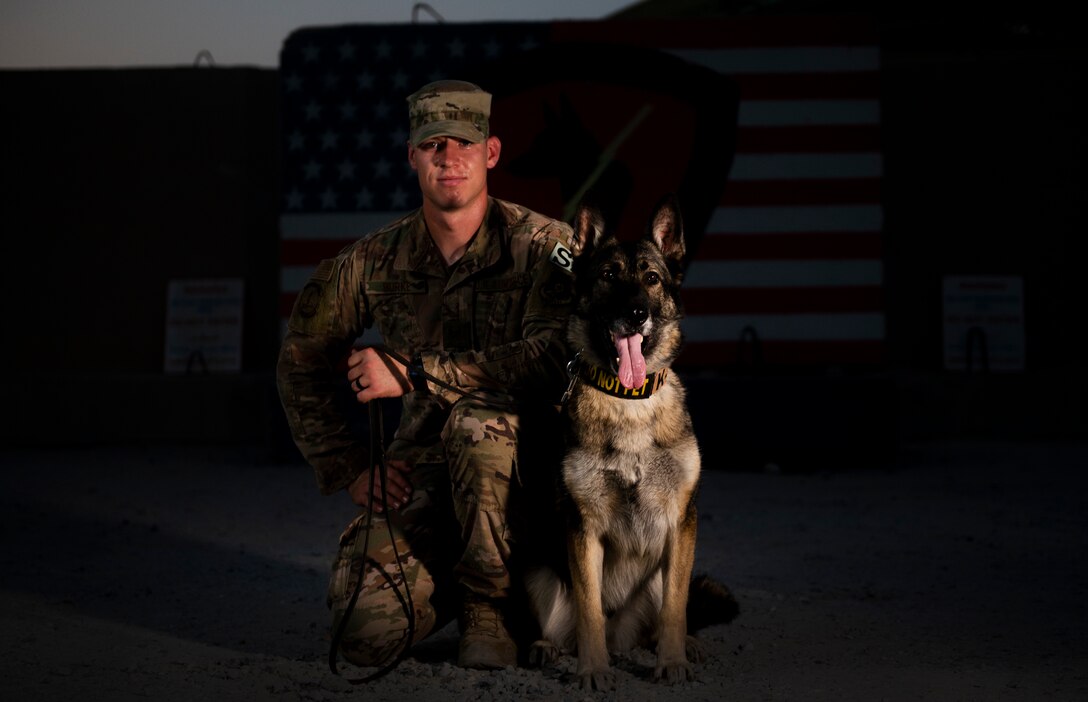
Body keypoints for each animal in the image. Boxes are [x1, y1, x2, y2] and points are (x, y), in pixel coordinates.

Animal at [526, 194, 739, 687]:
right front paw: (592, 669)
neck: (629, 400)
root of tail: (623, 634)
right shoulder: (582, 527)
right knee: (566, 624)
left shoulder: (681, 522)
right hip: (539, 571)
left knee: (663, 618)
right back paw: (547, 647)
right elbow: (588, 610)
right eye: (608, 276)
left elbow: (676, 609)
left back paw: (683, 646)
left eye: (651, 279)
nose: (637, 313)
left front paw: (672, 662)